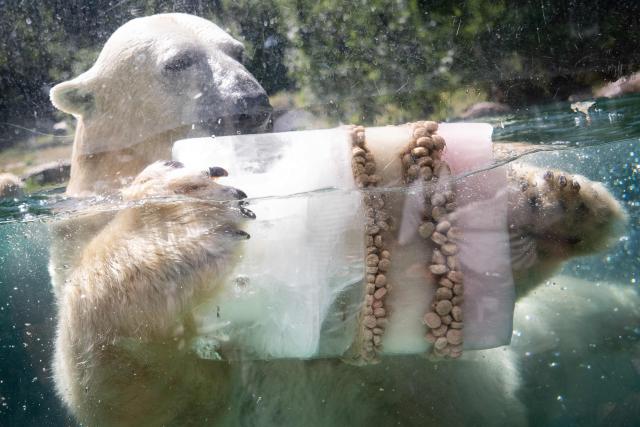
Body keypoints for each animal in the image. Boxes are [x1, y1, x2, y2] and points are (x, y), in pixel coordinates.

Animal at [48, 13, 636, 427]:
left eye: (238, 51)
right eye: (176, 62)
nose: (251, 101)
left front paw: (535, 206)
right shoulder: (77, 239)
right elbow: (138, 391)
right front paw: (179, 214)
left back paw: (559, 209)